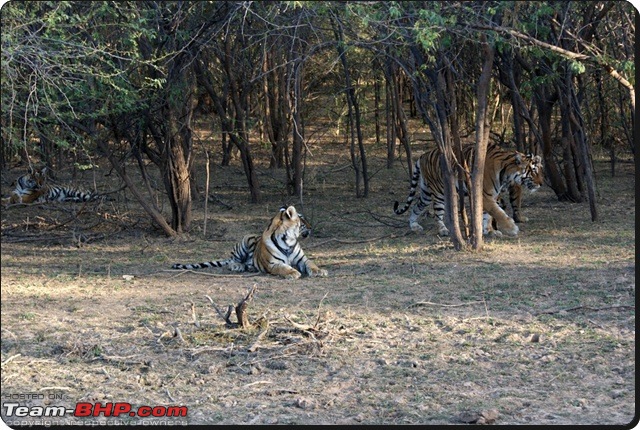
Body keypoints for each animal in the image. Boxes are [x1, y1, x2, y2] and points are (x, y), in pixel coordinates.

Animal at [172, 206, 328, 280]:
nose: (311, 227)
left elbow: (312, 264)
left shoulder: (303, 259)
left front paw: (320, 271)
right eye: (302, 220)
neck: (289, 241)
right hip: (245, 239)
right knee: (232, 260)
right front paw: (293, 273)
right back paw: (237, 266)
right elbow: (283, 268)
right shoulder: (273, 264)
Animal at [392, 144, 544, 239]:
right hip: (438, 192)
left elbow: (487, 216)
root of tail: (423, 155)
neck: (506, 174)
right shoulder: (485, 195)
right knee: (437, 214)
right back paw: (443, 230)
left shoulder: (492, 196)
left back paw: (414, 225)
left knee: (416, 206)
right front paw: (511, 228)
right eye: (533, 171)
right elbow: (497, 212)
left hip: (426, 193)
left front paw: (489, 231)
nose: (541, 184)